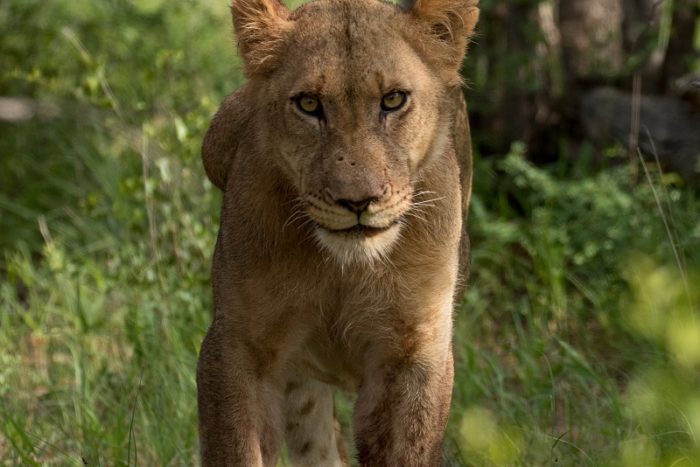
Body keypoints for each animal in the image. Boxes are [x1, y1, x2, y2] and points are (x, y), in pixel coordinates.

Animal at [196, 0, 479, 465]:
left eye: (393, 100)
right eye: (309, 104)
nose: (357, 201)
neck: (344, 270)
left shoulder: (416, 354)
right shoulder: (236, 348)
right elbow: (238, 449)